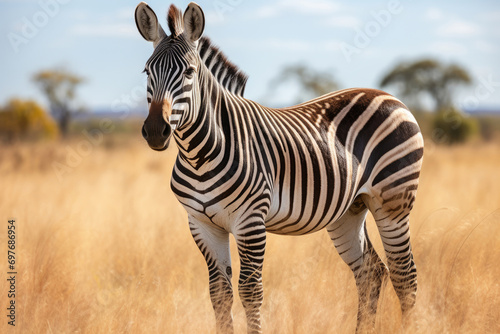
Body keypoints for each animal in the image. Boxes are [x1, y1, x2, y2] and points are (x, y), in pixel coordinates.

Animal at [135, 1, 424, 332]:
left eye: (189, 72)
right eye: (147, 71)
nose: (155, 131)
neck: (199, 157)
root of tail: (387, 95)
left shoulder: (250, 220)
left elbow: (250, 291)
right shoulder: (201, 224)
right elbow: (219, 294)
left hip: (393, 202)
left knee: (404, 275)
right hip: (350, 210)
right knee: (371, 272)